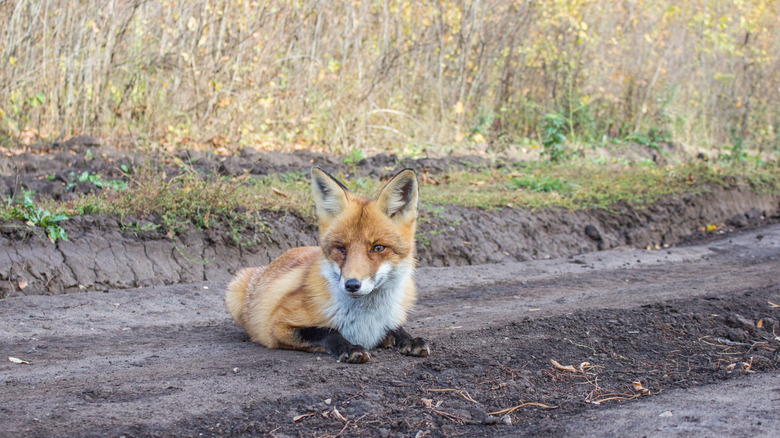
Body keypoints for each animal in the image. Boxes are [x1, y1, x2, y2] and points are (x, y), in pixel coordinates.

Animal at [225, 167, 429, 363]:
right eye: (341, 248)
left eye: (378, 248)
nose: (352, 285)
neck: (365, 320)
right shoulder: (277, 325)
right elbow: (326, 331)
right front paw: (349, 347)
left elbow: (397, 328)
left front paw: (409, 339)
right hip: (234, 291)